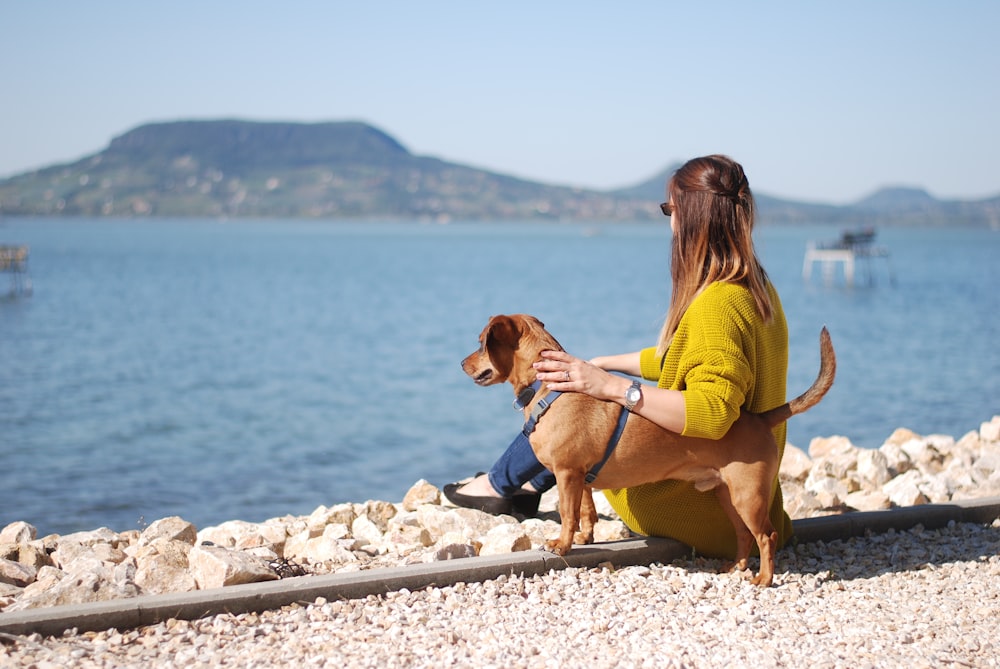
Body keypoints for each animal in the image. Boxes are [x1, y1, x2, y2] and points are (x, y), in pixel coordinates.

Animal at [462, 314, 836, 584]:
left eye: (481, 343)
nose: (462, 364)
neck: (549, 387)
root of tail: (758, 419)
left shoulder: (567, 474)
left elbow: (568, 515)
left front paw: (563, 545)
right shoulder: (579, 478)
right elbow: (587, 512)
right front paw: (585, 538)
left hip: (748, 497)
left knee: (767, 536)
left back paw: (764, 579)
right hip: (729, 496)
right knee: (745, 535)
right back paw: (737, 568)